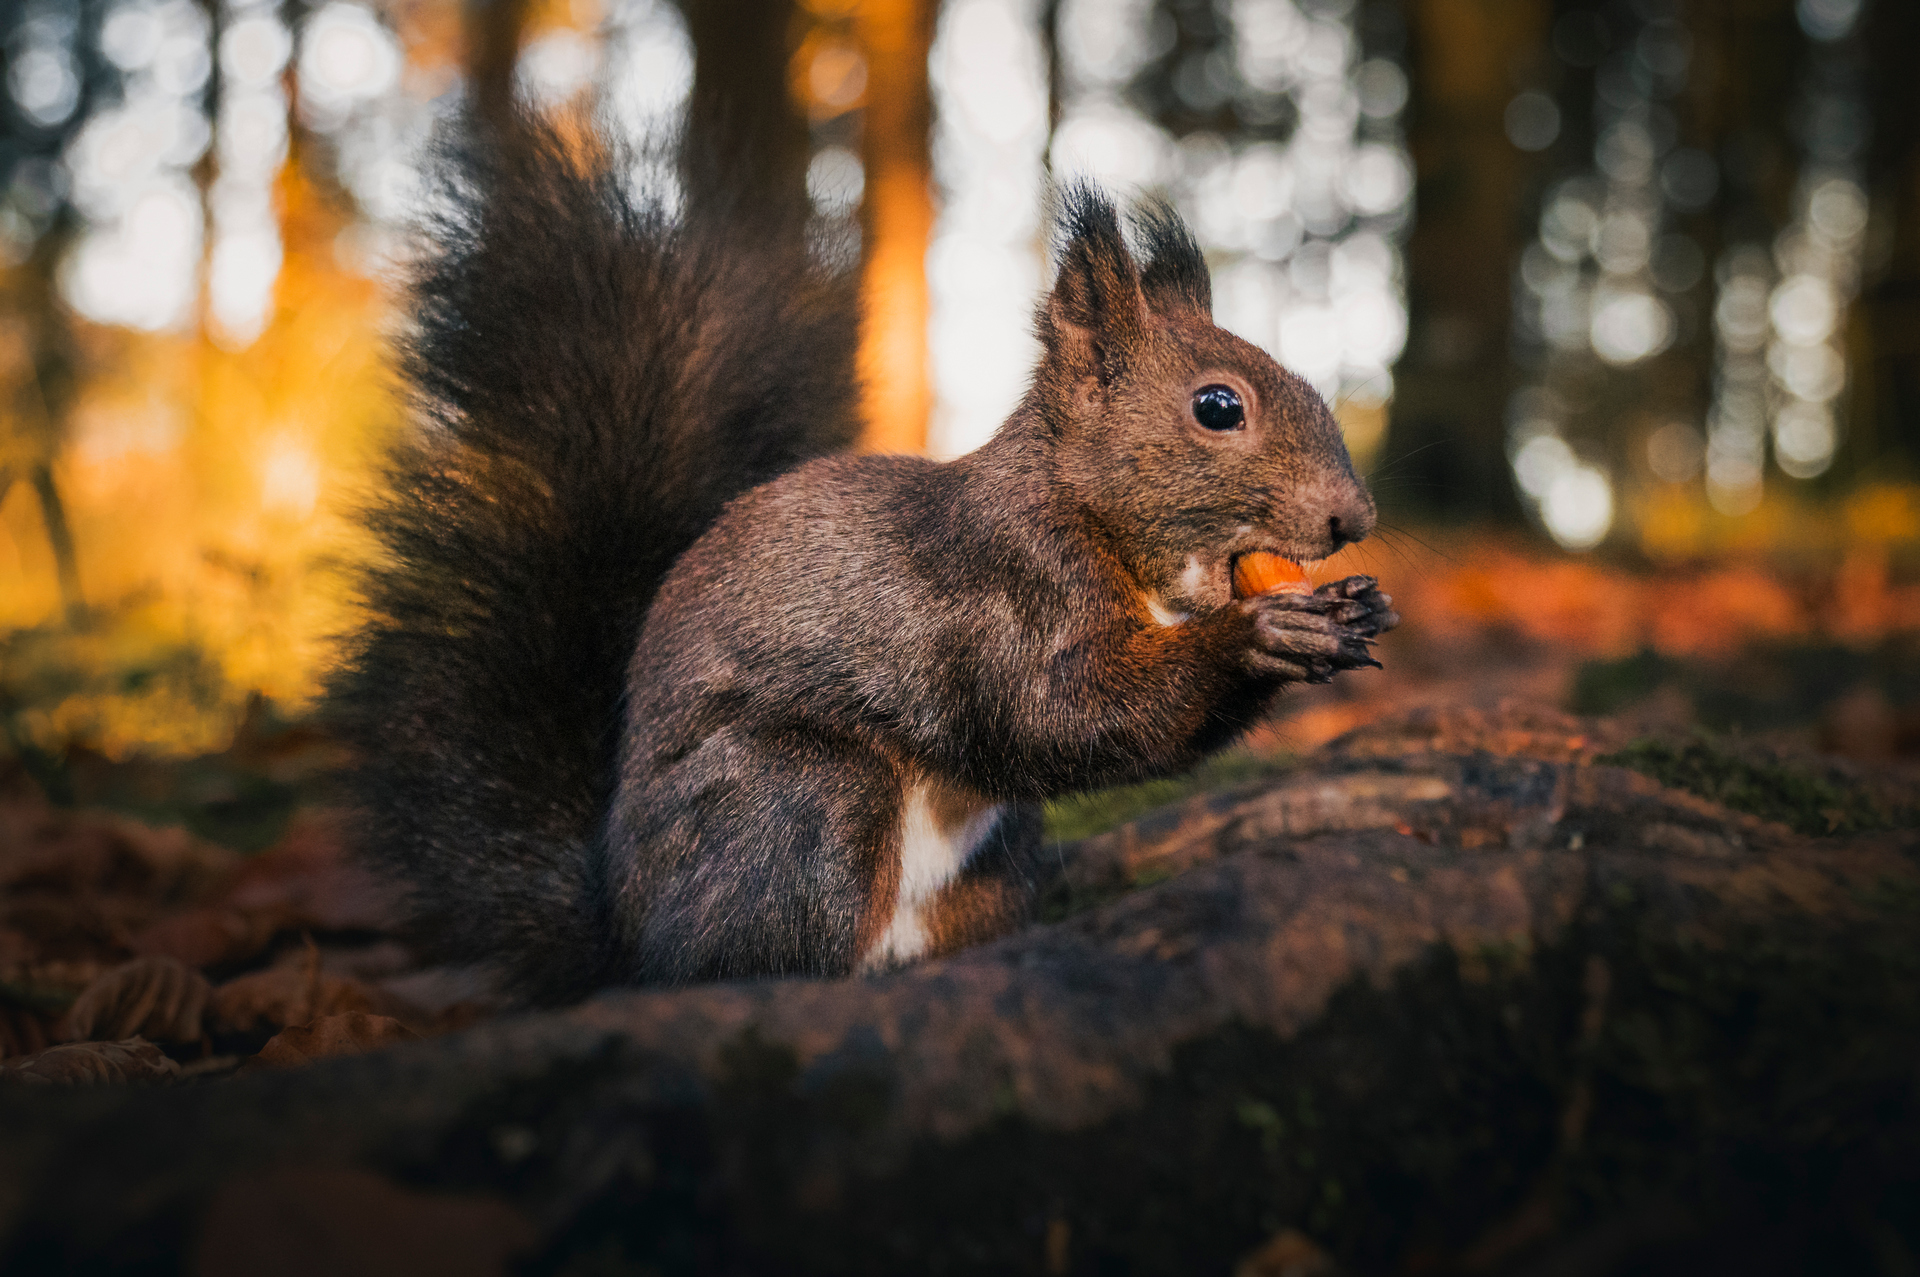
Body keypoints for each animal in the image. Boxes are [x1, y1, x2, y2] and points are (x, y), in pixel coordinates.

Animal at [329, 117, 1398, 1005]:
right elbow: (1056, 713)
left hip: (994, 862)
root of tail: (621, 934)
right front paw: (1262, 633)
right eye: (1218, 407)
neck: (1120, 546)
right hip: (797, 805)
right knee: (742, 960)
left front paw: (1356, 608)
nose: (1355, 516)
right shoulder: (999, 588)